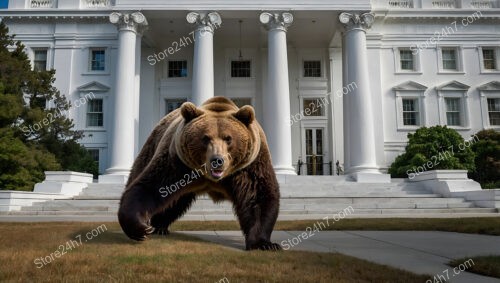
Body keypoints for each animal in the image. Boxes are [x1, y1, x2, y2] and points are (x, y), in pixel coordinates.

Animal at [117, 97, 282, 251]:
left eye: (228, 138)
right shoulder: (177, 163)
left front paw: (264, 244)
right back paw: (156, 226)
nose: (217, 160)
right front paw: (141, 228)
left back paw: (159, 226)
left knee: (175, 203)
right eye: (206, 138)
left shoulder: (249, 167)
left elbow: (258, 197)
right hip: (152, 145)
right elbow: (152, 187)